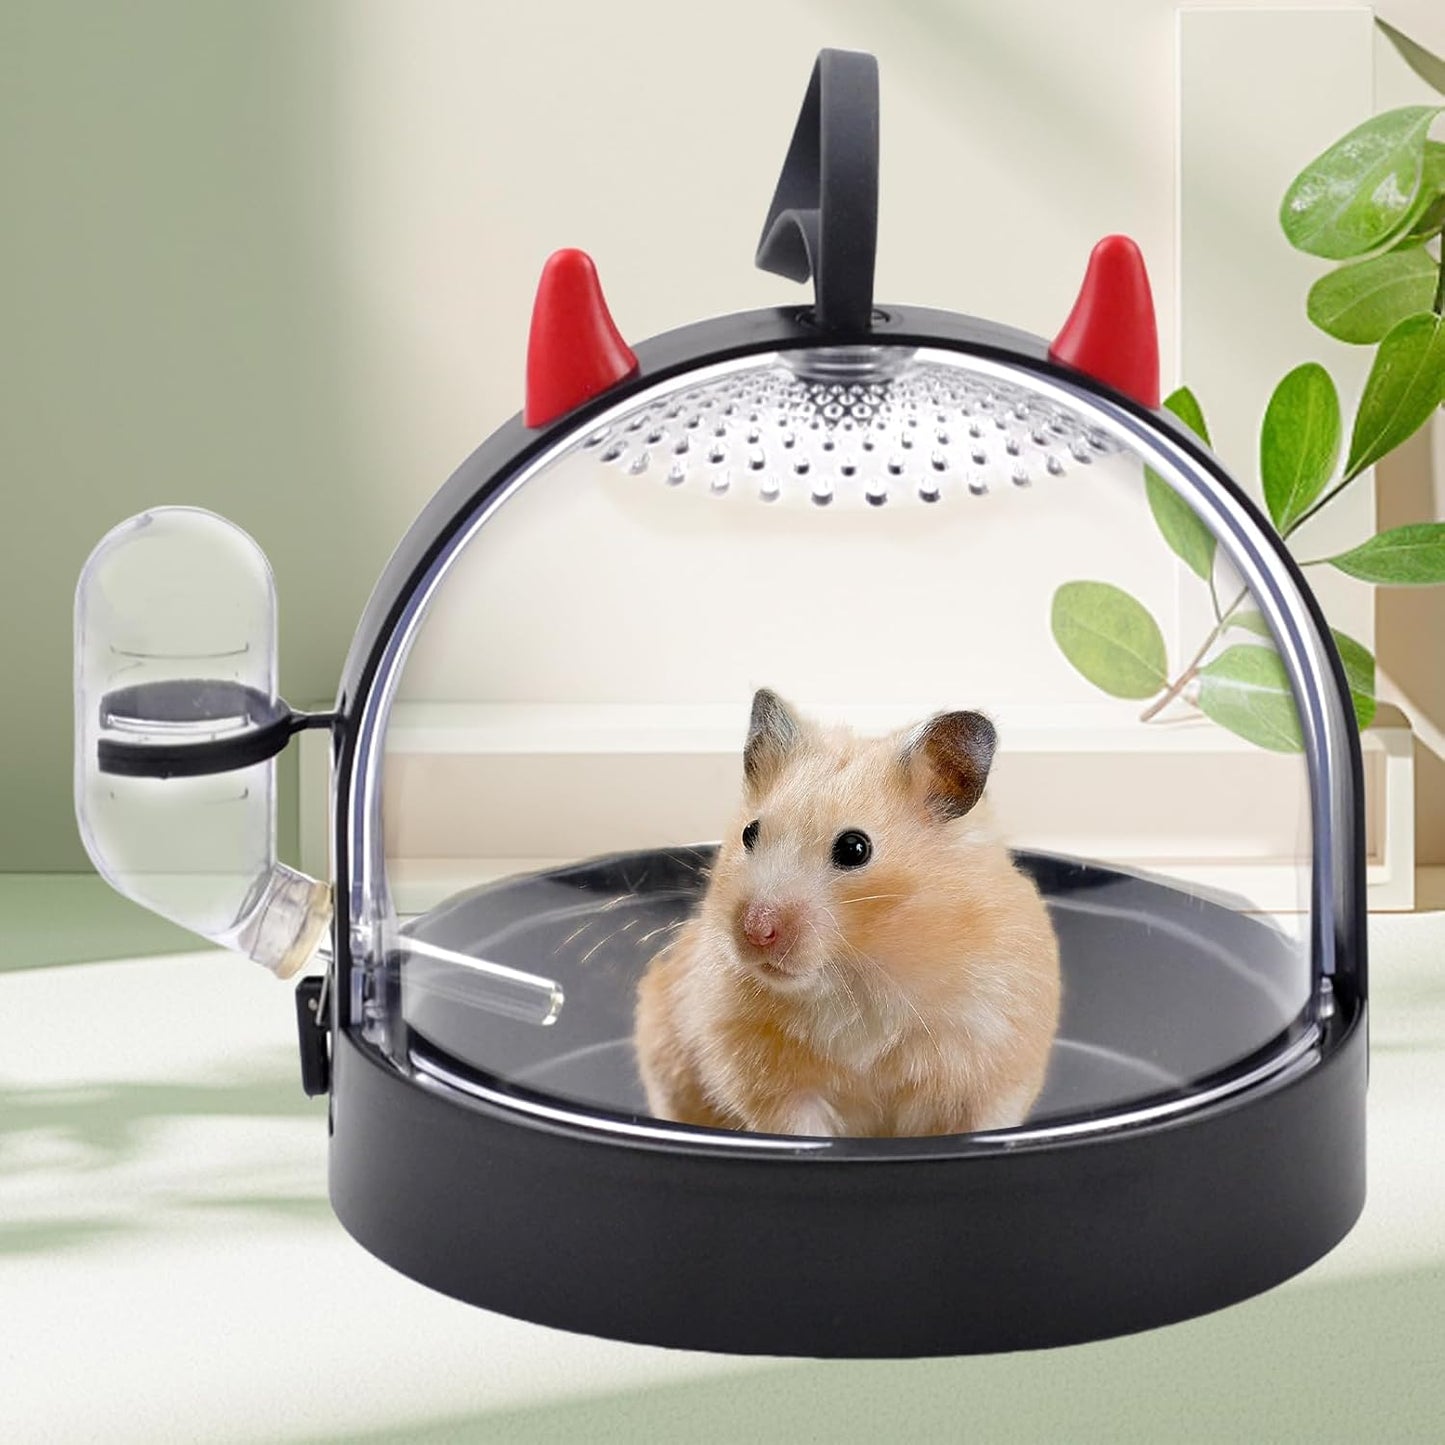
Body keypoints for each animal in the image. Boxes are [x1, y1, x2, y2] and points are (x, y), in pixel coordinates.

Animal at [633, 689, 1061, 1138]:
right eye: (750, 833)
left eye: (855, 848)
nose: (755, 931)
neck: (857, 973)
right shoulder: (772, 1083)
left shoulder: (992, 1061)